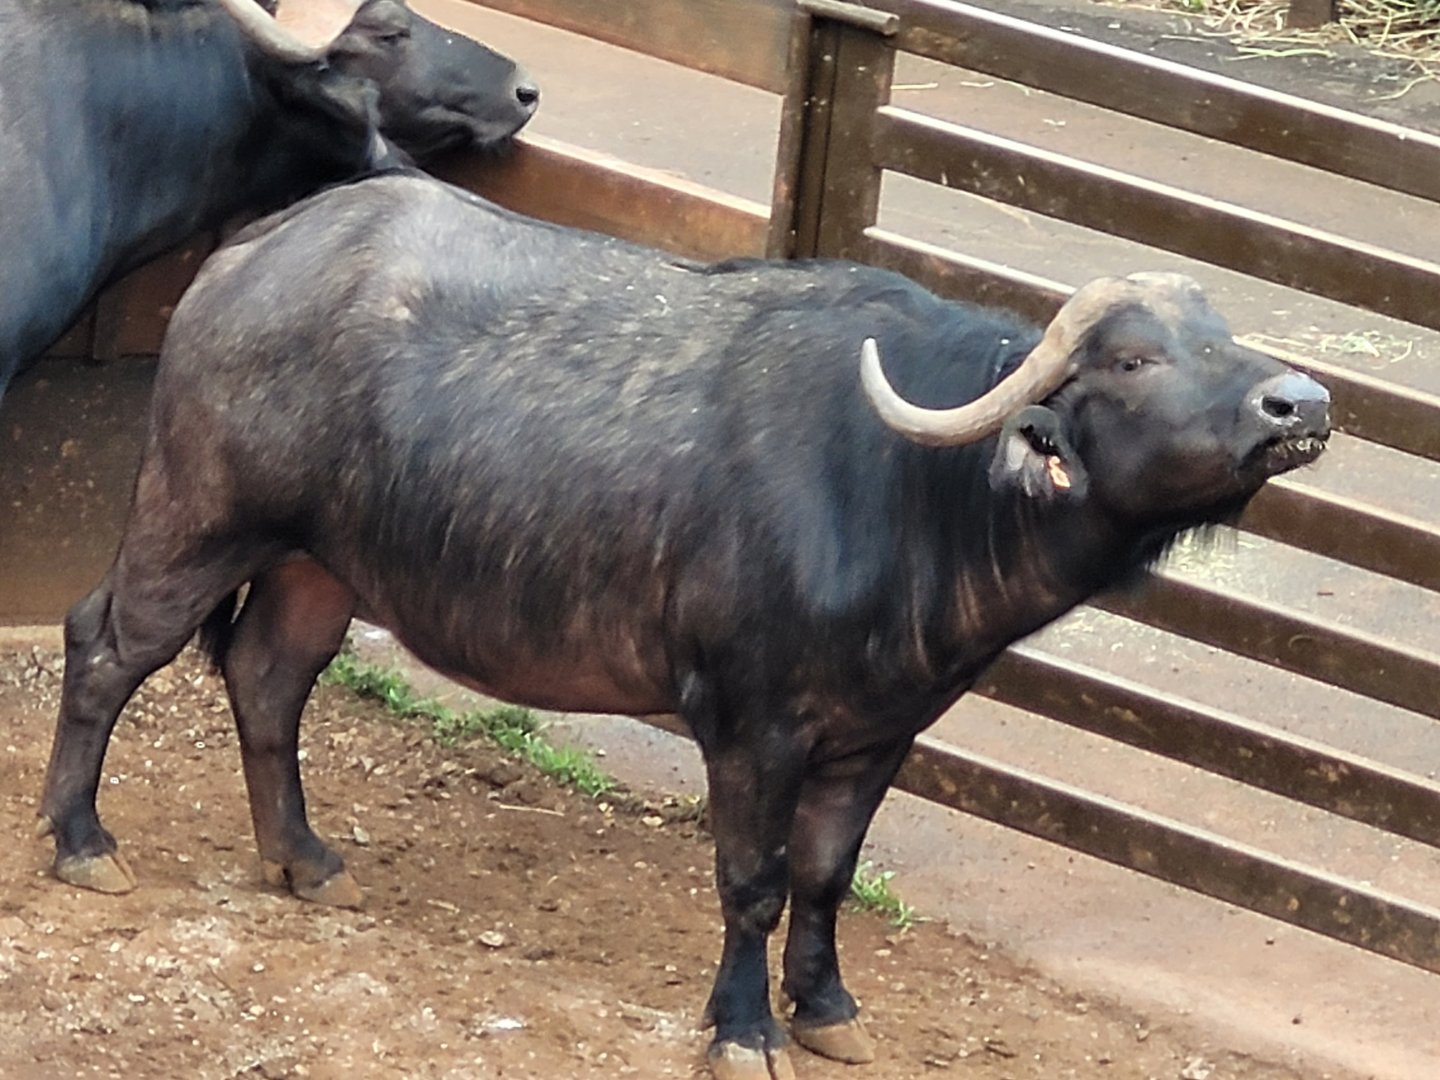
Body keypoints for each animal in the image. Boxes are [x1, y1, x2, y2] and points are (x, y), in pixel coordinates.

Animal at [38, 172, 1330, 1080]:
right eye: (1134, 357)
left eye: (1227, 341)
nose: (1301, 401)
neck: (911, 490)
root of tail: (254, 250)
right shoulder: (752, 726)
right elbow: (753, 881)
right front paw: (744, 1027)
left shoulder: (879, 732)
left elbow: (826, 875)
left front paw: (828, 1009)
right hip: (200, 517)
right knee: (106, 643)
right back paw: (83, 843)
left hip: (319, 565)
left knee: (269, 676)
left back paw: (304, 860)